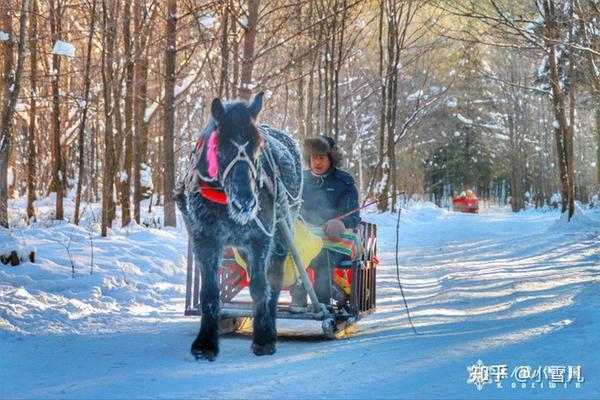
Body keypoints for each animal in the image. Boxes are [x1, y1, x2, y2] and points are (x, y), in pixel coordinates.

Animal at [176, 94, 302, 360]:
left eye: (258, 147)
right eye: (220, 148)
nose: (246, 201)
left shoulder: (259, 239)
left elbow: (260, 288)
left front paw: (263, 338)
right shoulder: (206, 239)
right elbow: (209, 291)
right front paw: (205, 343)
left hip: (280, 235)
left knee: (274, 282)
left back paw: (270, 327)